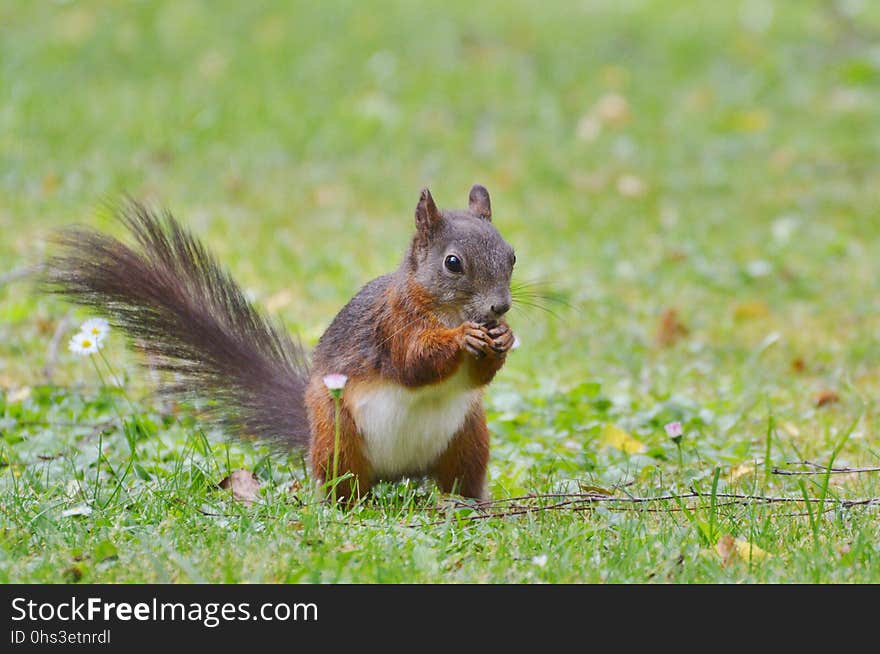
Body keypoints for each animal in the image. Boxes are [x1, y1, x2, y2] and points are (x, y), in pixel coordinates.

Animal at [44, 187, 516, 504]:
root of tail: (400, 473)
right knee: (344, 485)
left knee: (460, 479)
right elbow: (414, 362)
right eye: (452, 263)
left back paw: (470, 503)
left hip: (469, 438)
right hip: (338, 435)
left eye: (511, 256)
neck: (445, 309)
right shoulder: (391, 326)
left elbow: (477, 377)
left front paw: (503, 338)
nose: (501, 307)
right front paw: (461, 338)